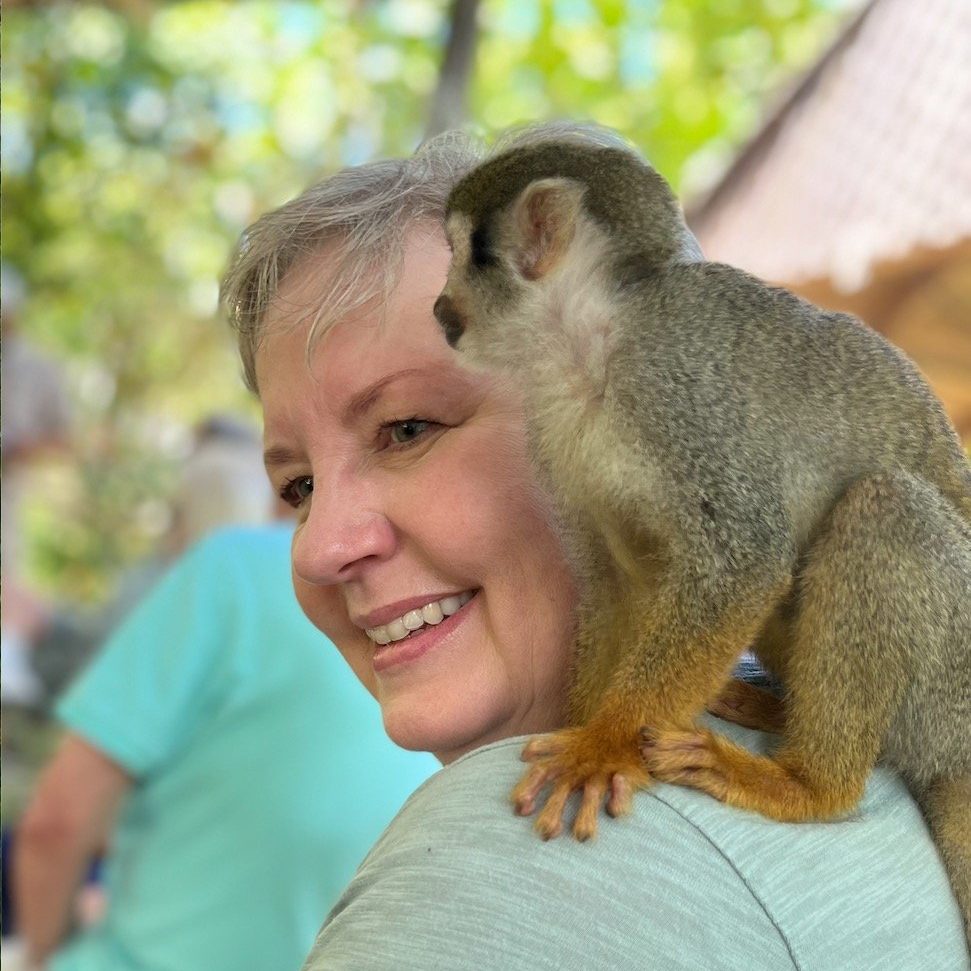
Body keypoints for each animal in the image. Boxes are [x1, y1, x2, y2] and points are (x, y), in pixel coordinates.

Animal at [433, 128, 971, 940]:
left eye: (463, 255)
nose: (439, 307)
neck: (595, 342)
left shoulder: (678, 387)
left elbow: (744, 560)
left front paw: (602, 746)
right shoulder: (551, 428)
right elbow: (617, 581)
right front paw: (596, 726)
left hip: (953, 677)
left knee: (882, 508)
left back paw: (810, 783)